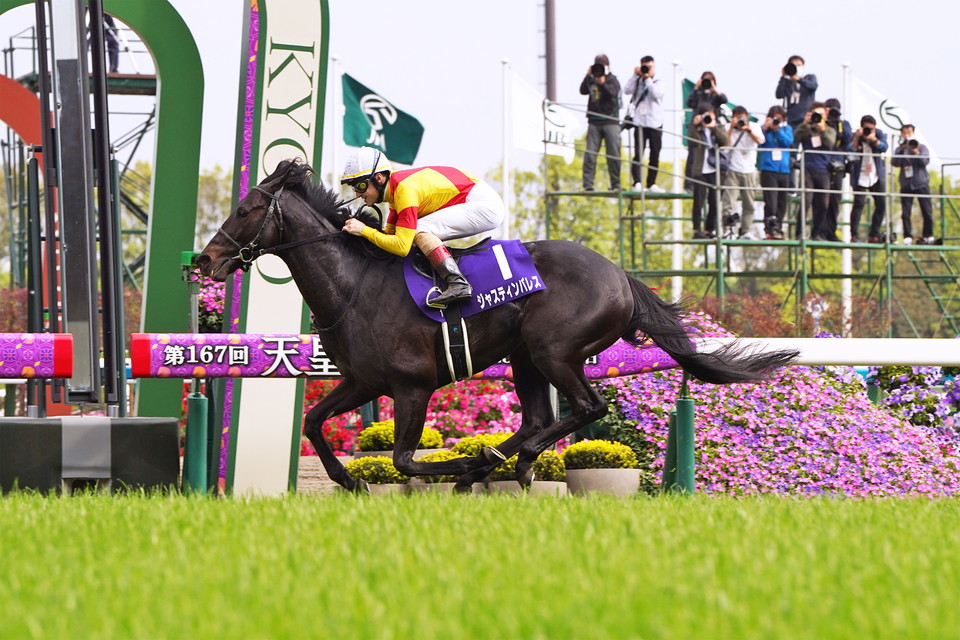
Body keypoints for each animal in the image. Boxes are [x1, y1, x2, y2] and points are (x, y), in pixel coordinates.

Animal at [196, 159, 798, 493]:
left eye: (246, 209)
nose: (206, 259)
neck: (355, 285)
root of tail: (621, 276)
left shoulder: (412, 386)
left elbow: (404, 459)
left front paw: (459, 462)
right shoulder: (363, 381)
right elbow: (314, 423)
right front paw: (349, 479)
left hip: (553, 350)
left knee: (586, 409)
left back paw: (495, 463)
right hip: (526, 357)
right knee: (536, 419)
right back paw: (494, 463)